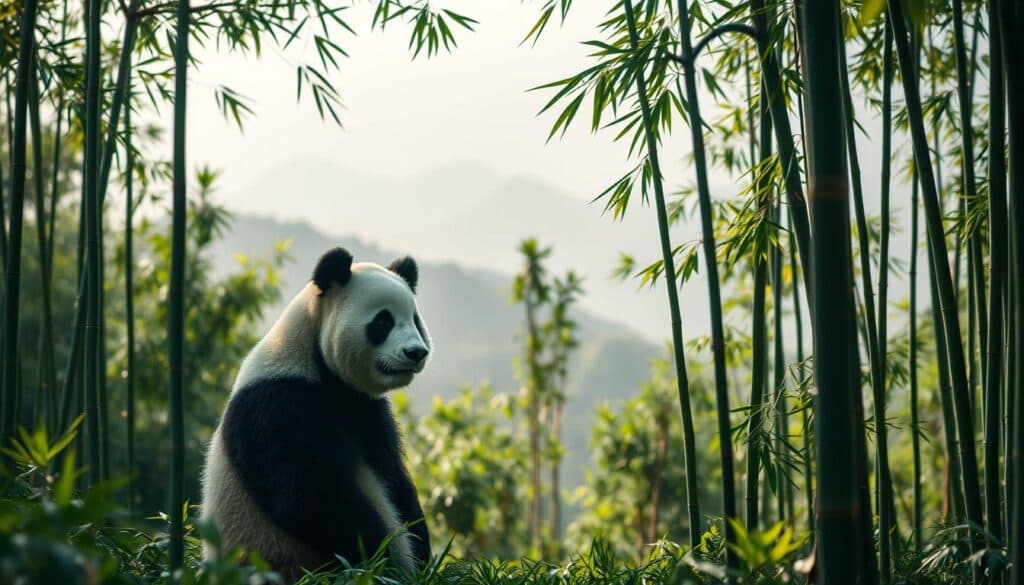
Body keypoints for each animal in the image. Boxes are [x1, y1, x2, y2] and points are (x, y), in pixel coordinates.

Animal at [201, 247, 432, 581]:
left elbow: (393, 477)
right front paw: (386, 561)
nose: (416, 352)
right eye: (383, 321)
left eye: (414, 319)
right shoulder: (277, 402)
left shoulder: (367, 409)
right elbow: (308, 496)